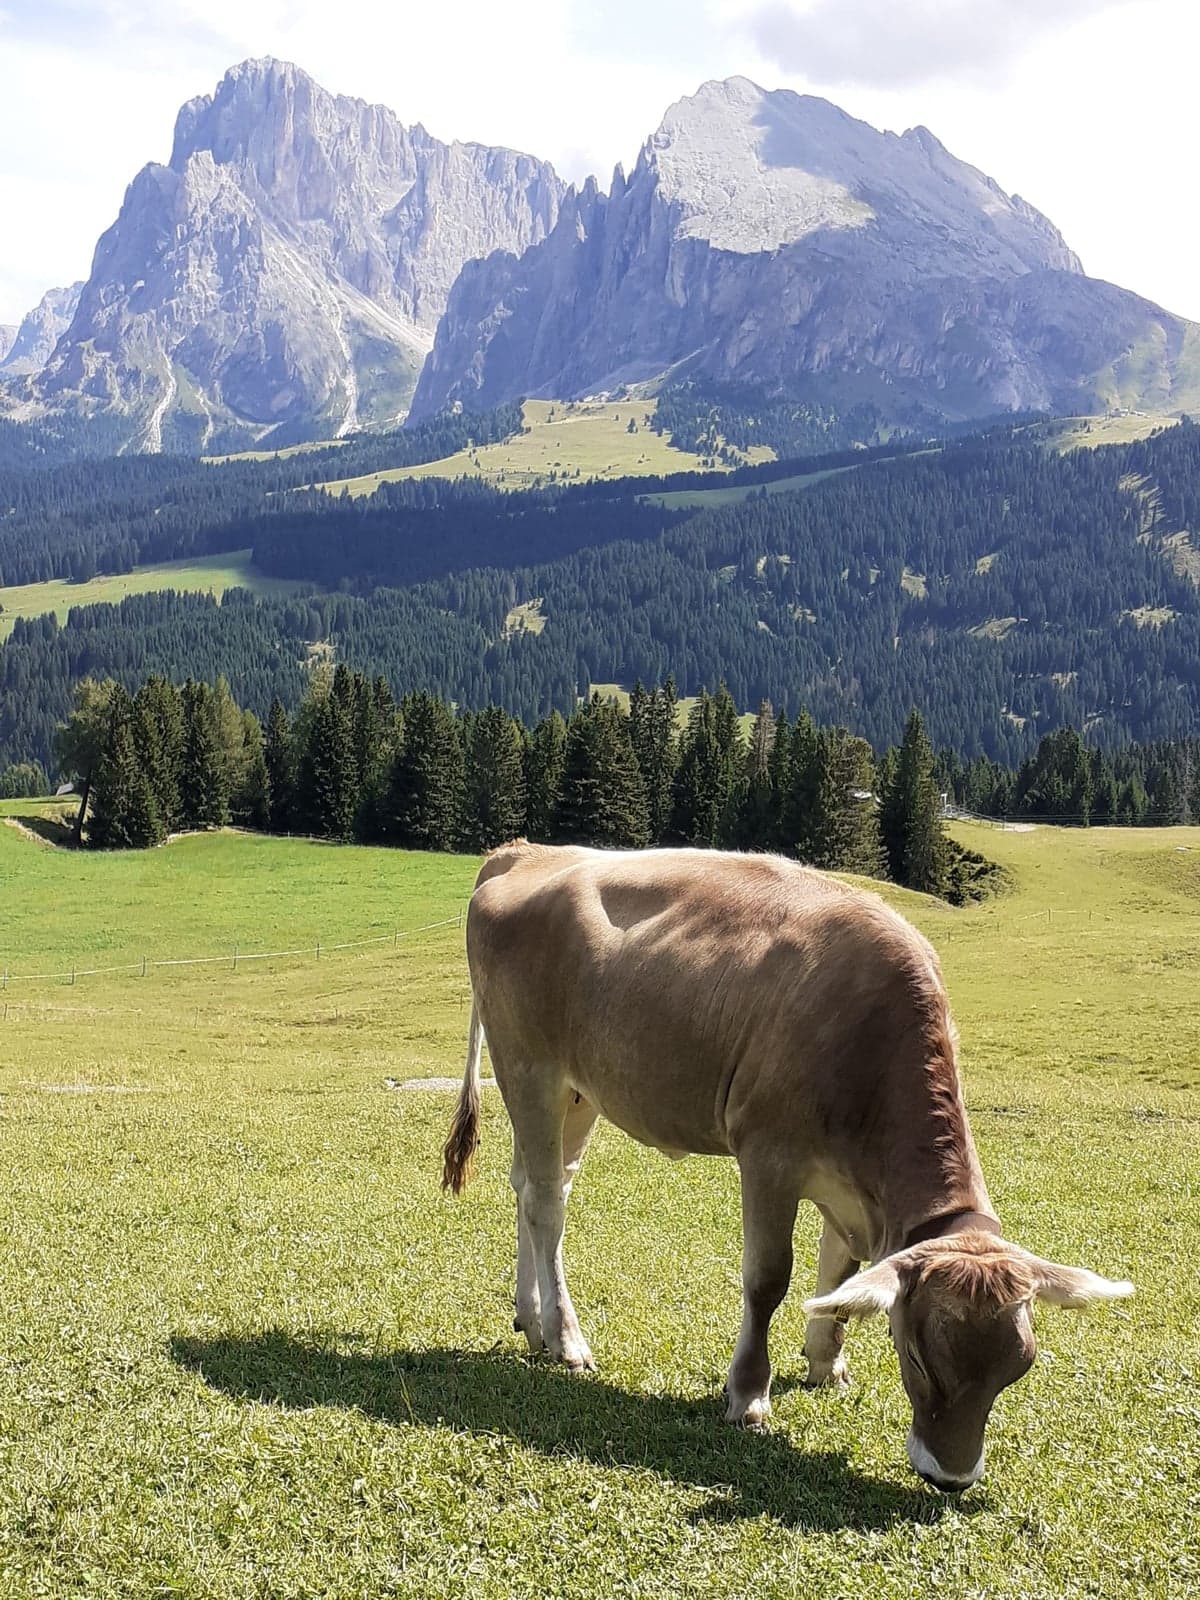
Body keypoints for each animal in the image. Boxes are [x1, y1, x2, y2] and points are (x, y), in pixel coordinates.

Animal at [442, 841, 1133, 1492]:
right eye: (918, 1357)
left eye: (1017, 1367)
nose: (952, 1478)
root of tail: (527, 851)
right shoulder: (768, 1156)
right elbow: (769, 1278)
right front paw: (748, 1394)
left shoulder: (851, 1183)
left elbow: (841, 1274)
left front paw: (826, 1360)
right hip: (527, 1065)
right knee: (545, 1205)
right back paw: (565, 1339)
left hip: (582, 1090)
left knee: (538, 1185)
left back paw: (530, 1318)